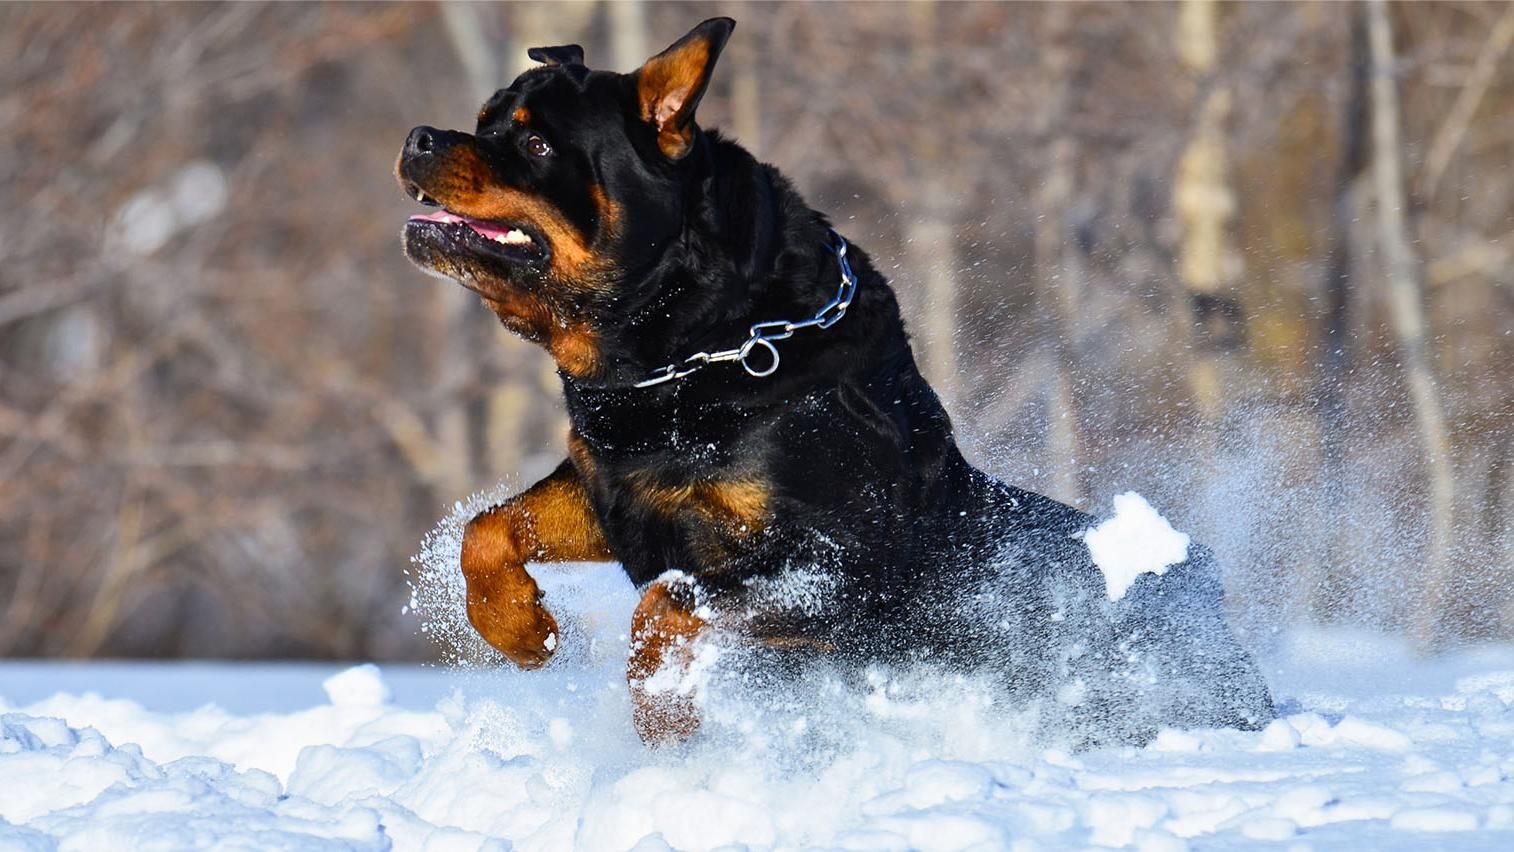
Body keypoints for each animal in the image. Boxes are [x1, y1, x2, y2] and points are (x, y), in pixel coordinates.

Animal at [396, 15, 1271, 747]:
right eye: (484, 119)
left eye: (537, 147)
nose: (417, 136)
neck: (694, 348)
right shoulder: (613, 487)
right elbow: (487, 530)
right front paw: (521, 630)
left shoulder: (834, 563)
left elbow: (666, 605)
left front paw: (664, 711)